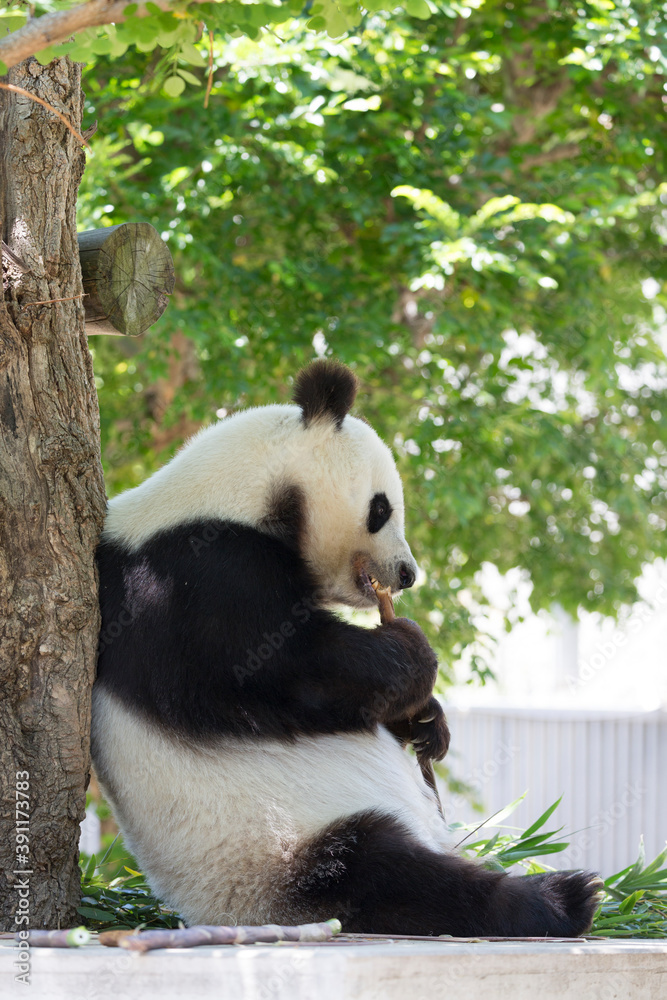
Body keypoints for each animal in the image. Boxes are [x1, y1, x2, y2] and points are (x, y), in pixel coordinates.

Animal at [91, 360, 604, 936]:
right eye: (381, 508)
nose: (407, 574)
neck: (227, 494)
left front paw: (429, 723)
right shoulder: (194, 577)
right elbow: (278, 669)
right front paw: (414, 655)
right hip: (275, 851)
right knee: (388, 874)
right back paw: (559, 898)